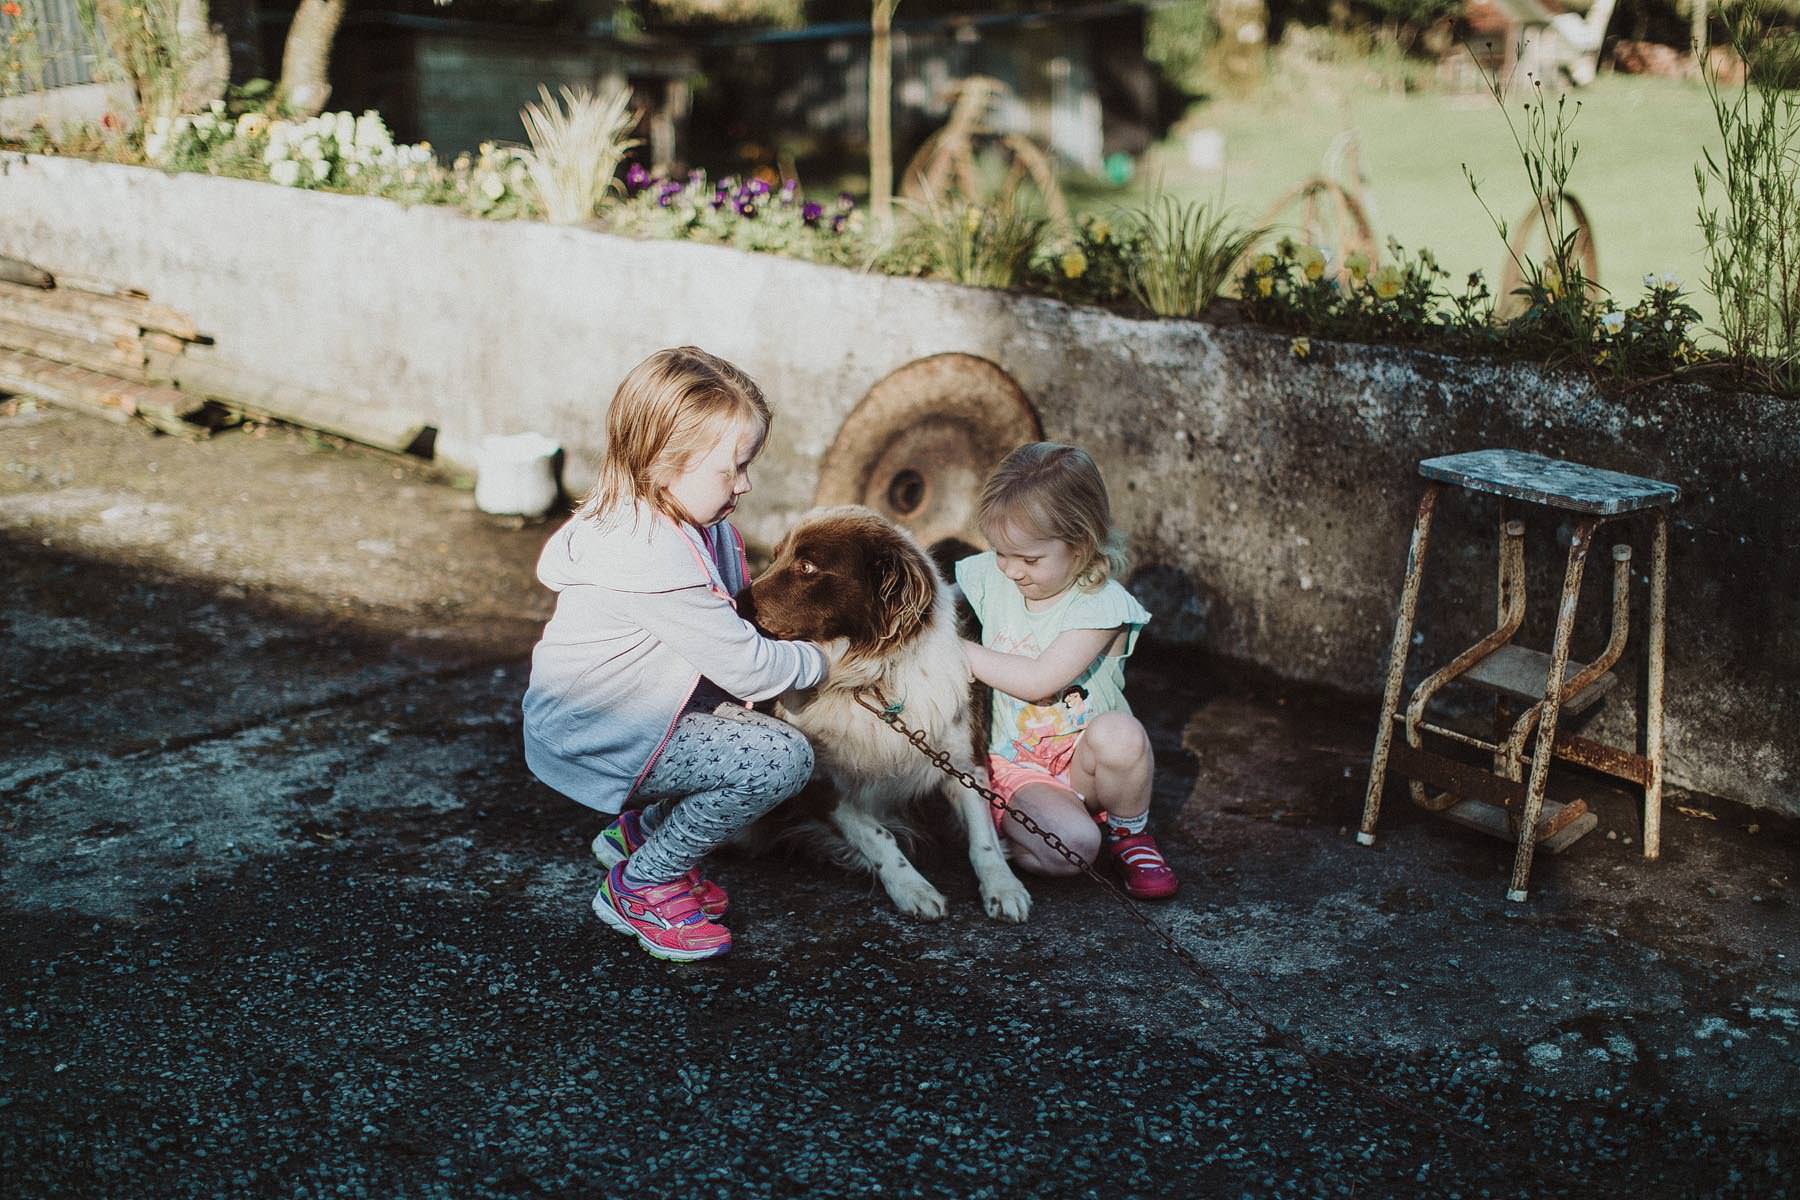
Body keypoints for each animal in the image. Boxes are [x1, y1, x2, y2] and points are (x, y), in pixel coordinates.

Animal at [734, 503, 1029, 928]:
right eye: (775, 557)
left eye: (806, 566)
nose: (733, 602)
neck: (871, 680)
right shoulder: (818, 781)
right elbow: (877, 836)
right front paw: (913, 888)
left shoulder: (963, 760)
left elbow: (983, 836)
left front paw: (1003, 886)